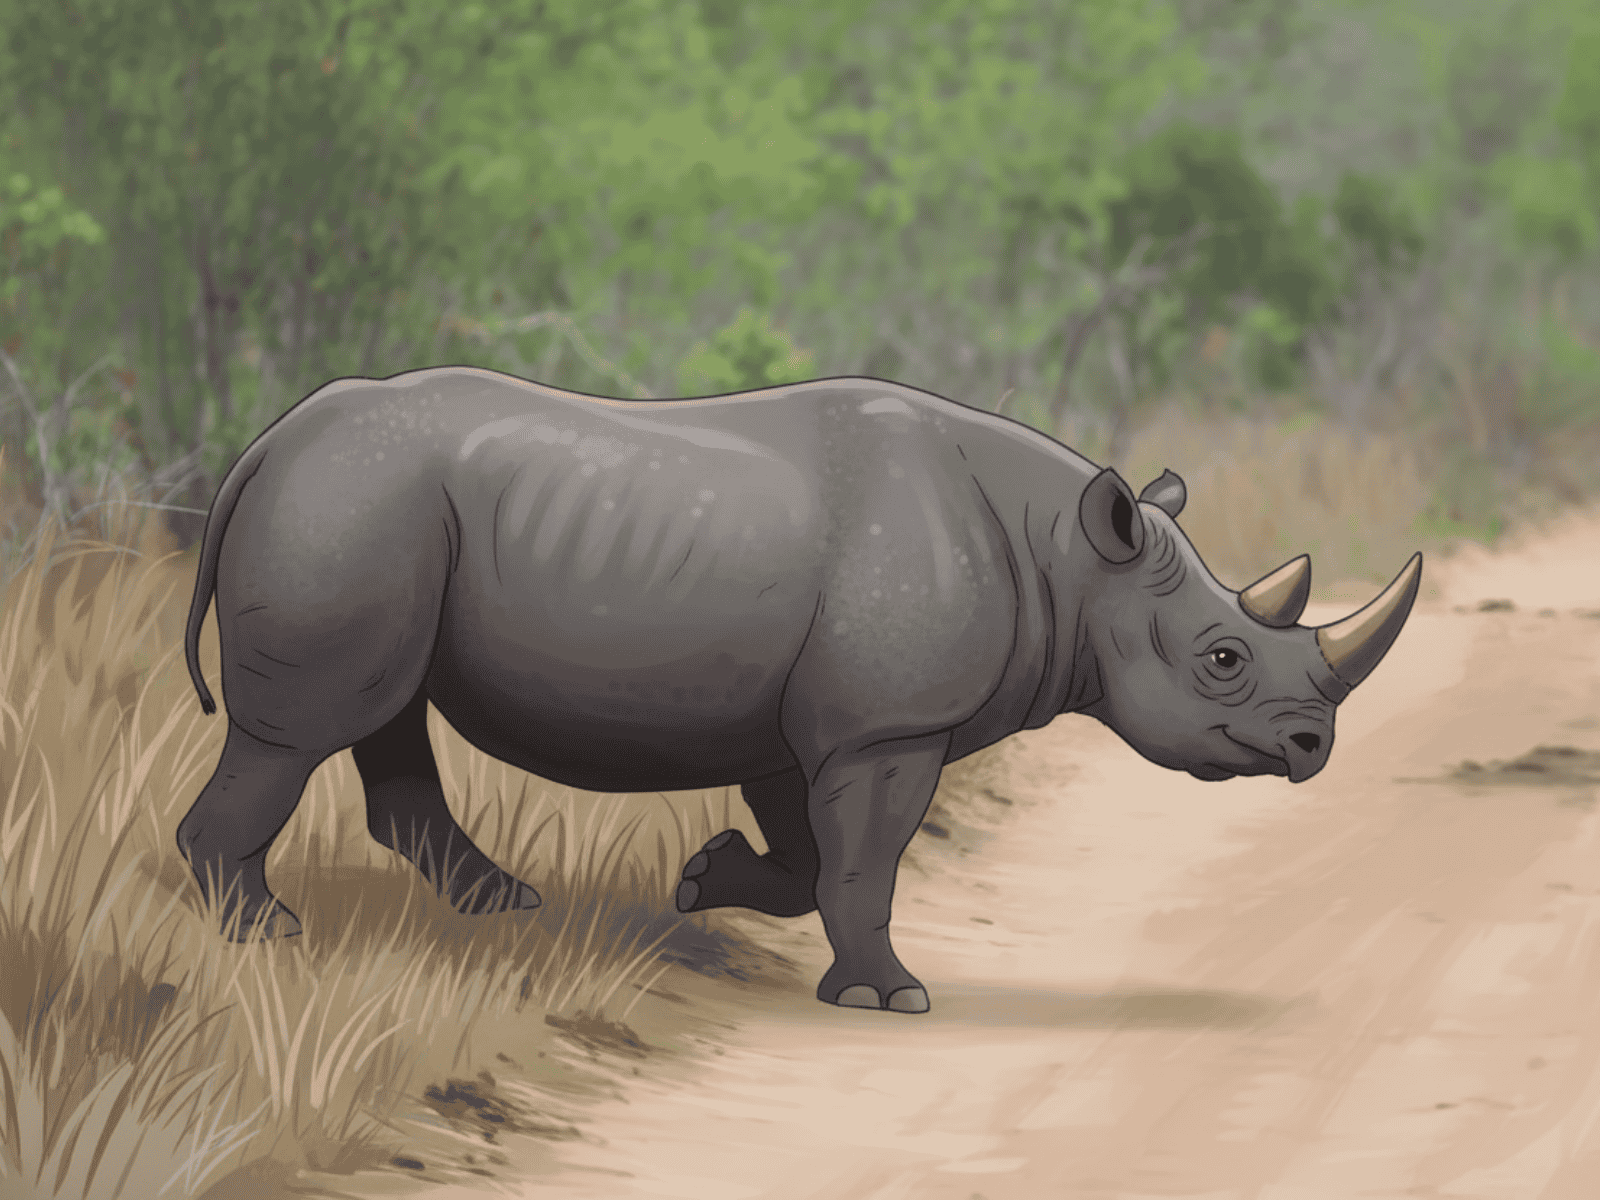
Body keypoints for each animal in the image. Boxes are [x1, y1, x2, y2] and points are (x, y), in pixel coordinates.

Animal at [179, 368, 1420, 1013]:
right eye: (1222, 659)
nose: (1313, 746)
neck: (1070, 560)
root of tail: (265, 444)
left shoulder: (807, 722)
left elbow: (808, 856)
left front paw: (700, 880)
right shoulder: (886, 728)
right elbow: (862, 864)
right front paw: (889, 1000)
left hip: (372, 509)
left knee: (385, 715)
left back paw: (499, 906)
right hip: (350, 503)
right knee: (307, 729)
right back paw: (262, 931)